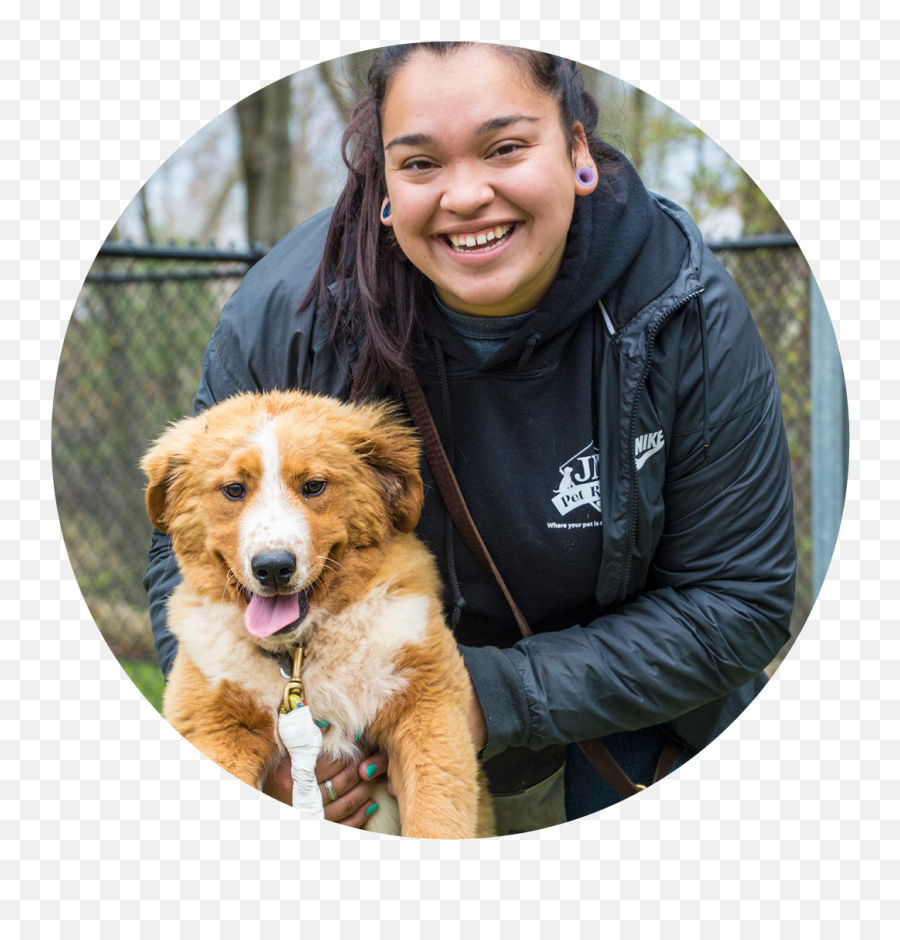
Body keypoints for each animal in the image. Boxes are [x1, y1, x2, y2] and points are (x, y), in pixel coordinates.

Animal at [142, 388, 492, 836]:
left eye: (313, 486)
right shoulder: (214, 724)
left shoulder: (429, 707)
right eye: (234, 490)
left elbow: (437, 818)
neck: (300, 654)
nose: (273, 567)